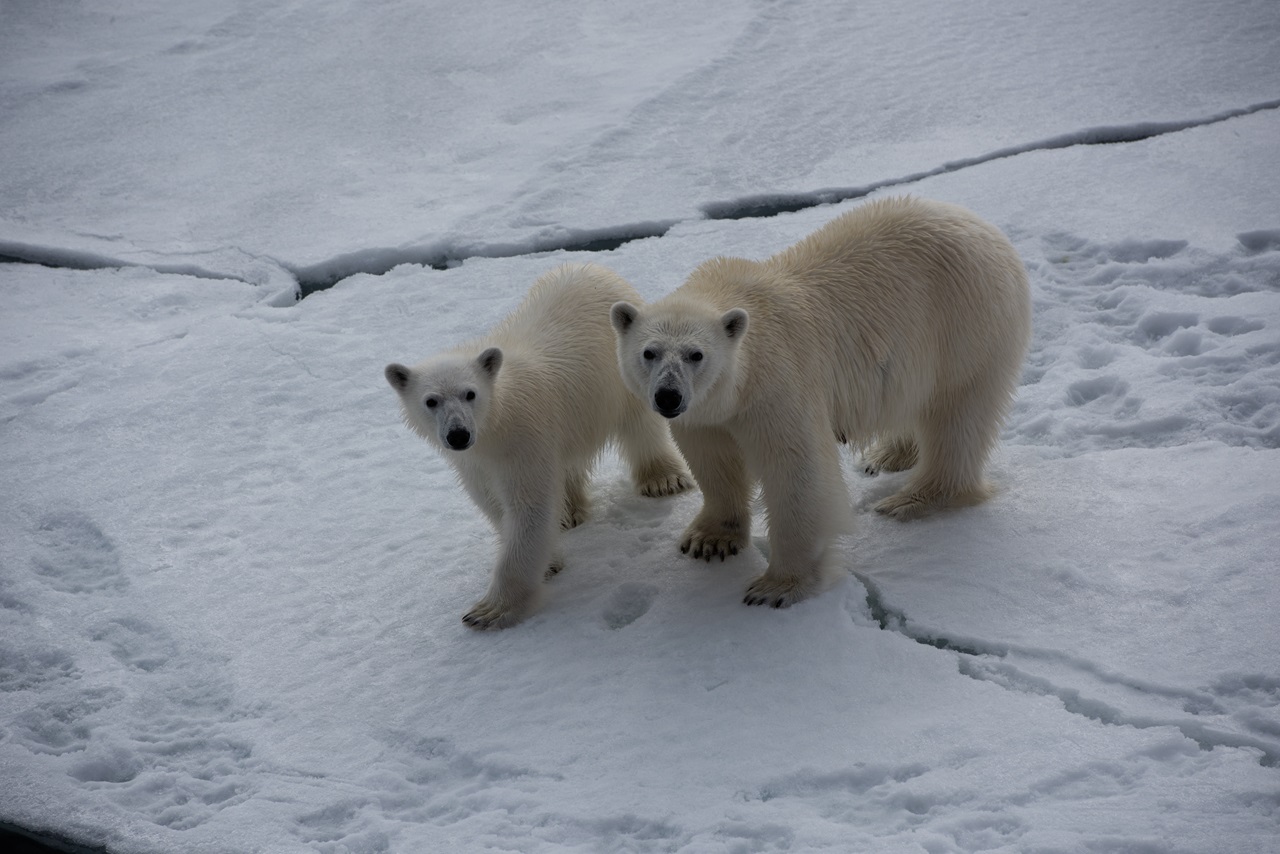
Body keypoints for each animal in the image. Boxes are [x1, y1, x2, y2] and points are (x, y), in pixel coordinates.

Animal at [386, 263, 696, 632]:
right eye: (431, 401)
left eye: (470, 394)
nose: (458, 435)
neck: (495, 424)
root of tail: (593, 267)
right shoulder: (475, 462)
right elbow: (493, 502)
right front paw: (548, 560)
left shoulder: (522, 440)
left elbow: (528, 506)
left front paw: (489, 610)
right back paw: (570, 511)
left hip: (625, 372)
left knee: (639, 425)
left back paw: (663, 479)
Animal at [609, 195, 1029, 606]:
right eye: (649, 353)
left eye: (696, 355)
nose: (668, 396)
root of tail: (987, 228)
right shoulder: (706, 414)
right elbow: (713, 459)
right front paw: (709, 539)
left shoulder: (776, 384)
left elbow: (797, 469)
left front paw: (776, 587)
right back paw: (886, 456)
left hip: (965, 325)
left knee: (957, 416)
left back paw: (911, 499)